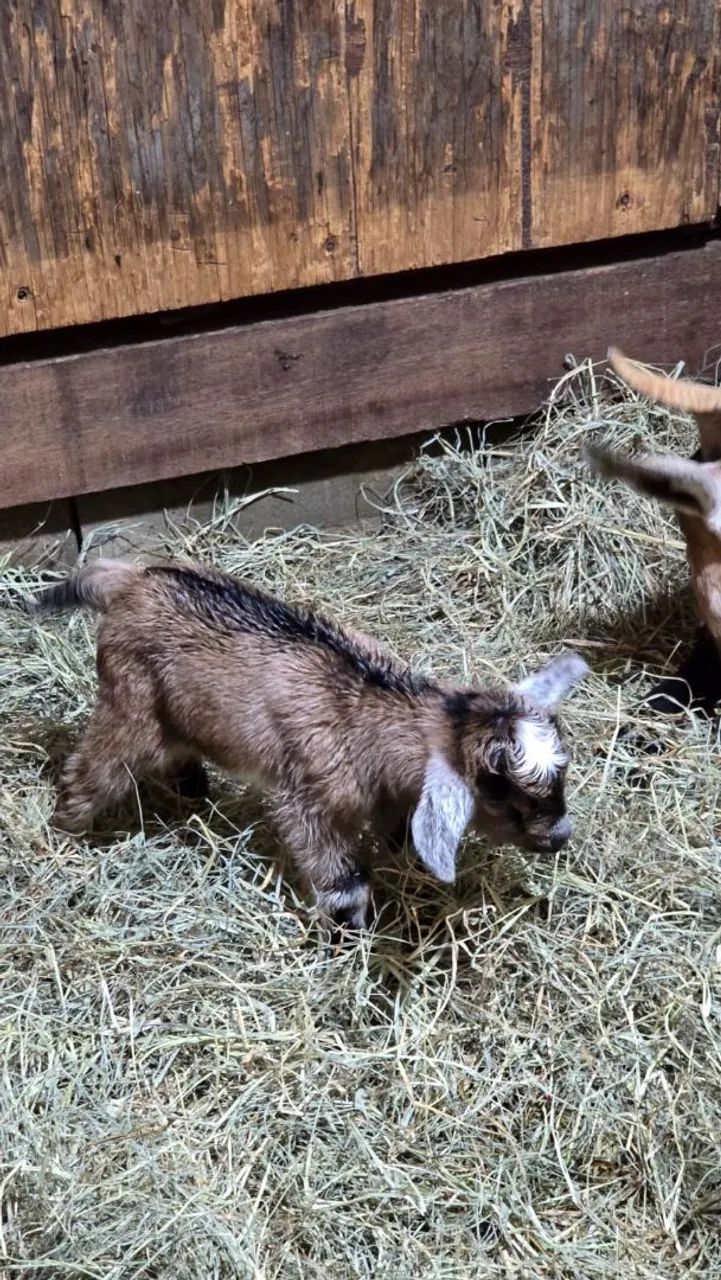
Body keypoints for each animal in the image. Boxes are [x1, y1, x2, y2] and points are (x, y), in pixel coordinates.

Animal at [35, 559, 588, 928]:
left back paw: (194, 791)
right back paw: (64, 831)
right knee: (100, 766)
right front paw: (353, 930)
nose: (560, 837)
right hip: (131, 702)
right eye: (501, 797)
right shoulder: (309, 799)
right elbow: (343, 880)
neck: (367, 715)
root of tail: (132, 580)